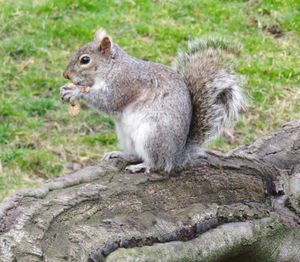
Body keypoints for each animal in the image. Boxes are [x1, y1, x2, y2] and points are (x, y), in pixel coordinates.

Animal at [59, 28, 245, 174]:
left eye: (85, 60)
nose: (66, 75)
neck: (113, 67)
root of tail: (176, 156)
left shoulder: (126, 84)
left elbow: (108, 101)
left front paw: (75, 92)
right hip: (126, 135)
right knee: (136, 154)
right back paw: (120, 154)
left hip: (152, 135)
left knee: (158, 163)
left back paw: (143, 166)